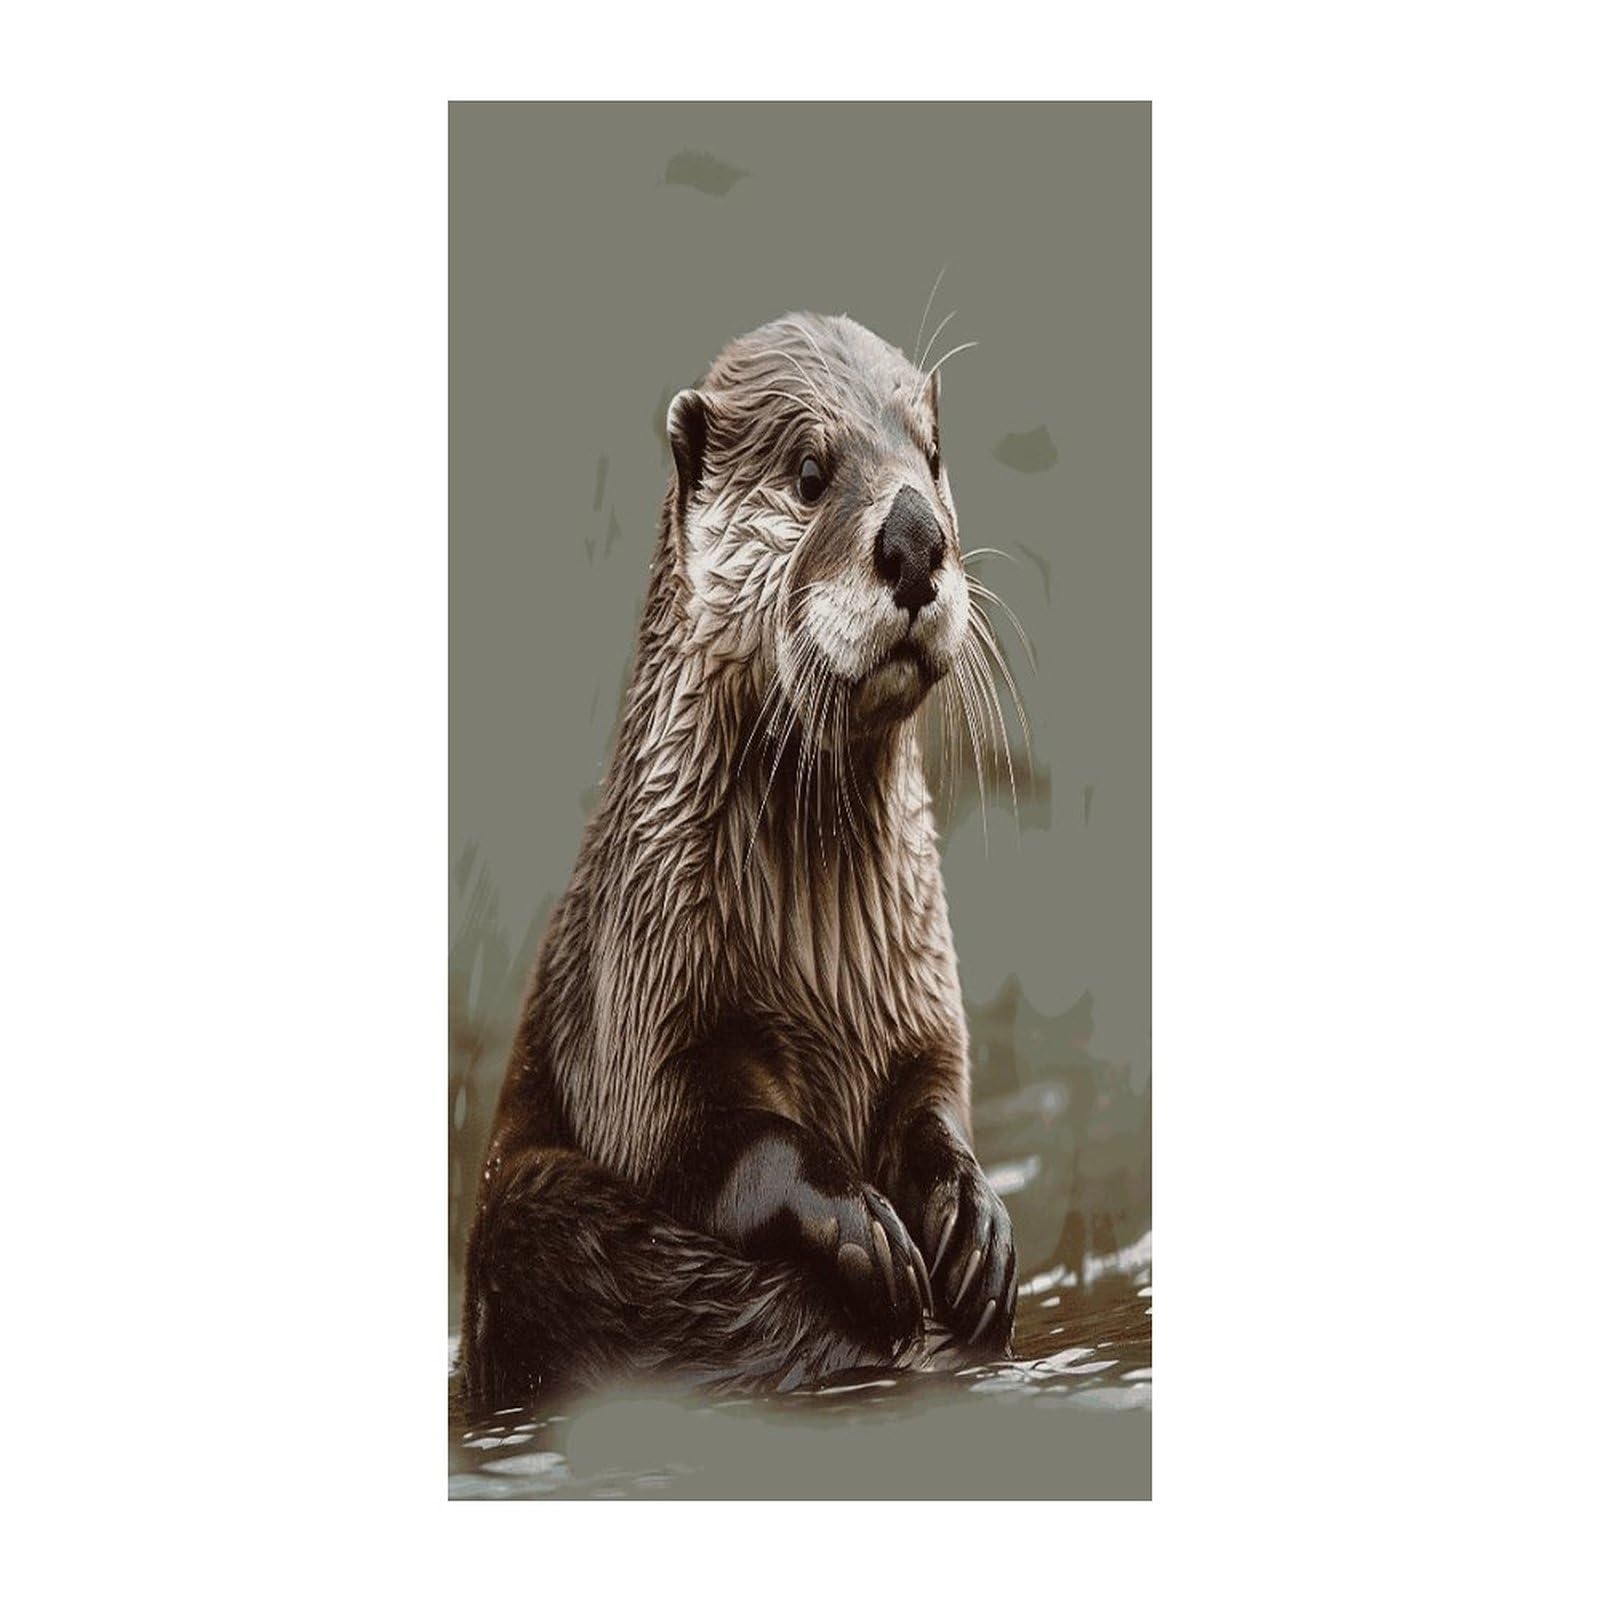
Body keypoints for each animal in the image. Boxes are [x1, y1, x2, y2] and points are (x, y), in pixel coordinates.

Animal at [459, 311, 1018, 1406]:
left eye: (932, 456)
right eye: (808, 471)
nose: (915, 538)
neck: (823, 964)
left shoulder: (921, 1000)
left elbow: (934, 1102)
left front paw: (975, 1215)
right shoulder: (637, 994)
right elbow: (698, 1135)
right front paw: (860, 1222)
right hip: (533, 1214)